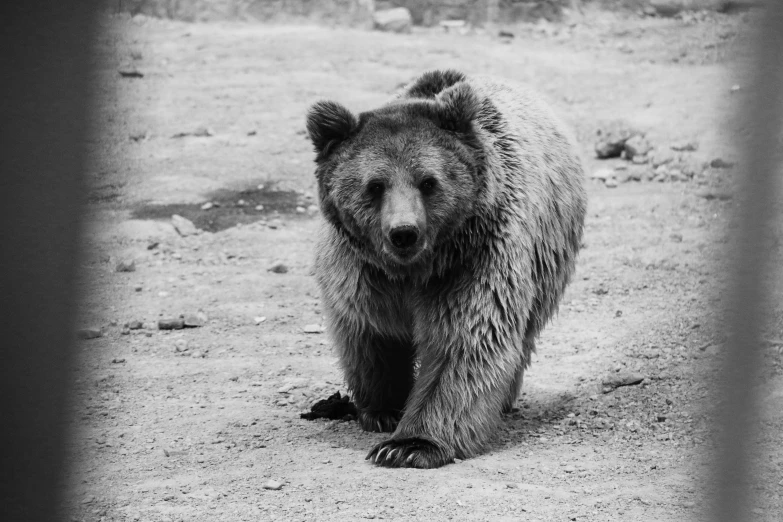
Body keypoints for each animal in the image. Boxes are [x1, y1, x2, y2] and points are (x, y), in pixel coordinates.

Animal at [306, 70, 588, 468]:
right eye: (375, 185)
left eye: (428, 181)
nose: (403, 233)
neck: (414, 270)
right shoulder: (361, 274)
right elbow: (369, 332)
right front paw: (382, 409)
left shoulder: (474, 258)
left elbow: (465, 339)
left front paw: (408, 445)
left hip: (548, 253)